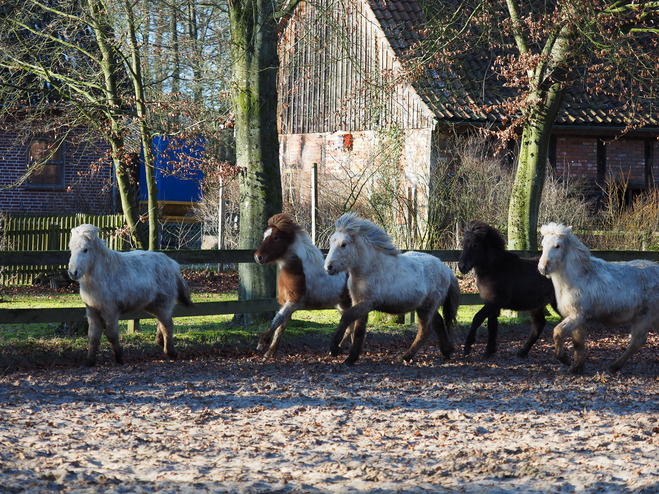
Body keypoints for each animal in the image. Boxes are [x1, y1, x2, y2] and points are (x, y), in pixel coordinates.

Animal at [68, 224, 195, 366]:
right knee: (162, 322)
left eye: (85, 249)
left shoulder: (110, 311)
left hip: (163, 304)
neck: (104, 275)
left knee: (167, 325)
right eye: (71, 249)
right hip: (153, 306)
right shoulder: (93, 311)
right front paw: (89, 361)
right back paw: (160, 342)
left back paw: (170, 351)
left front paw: (119, 358)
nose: (73, 273)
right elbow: (93, 336)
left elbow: (111, 335)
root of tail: (172, 264)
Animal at [254, 214, 356, 356]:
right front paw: (270, 352)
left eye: (276, 237)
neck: (297, 268)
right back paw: (338, 350)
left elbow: (277, 319)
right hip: (342, 304)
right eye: (264, 235)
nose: (258, 257)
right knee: (350, 326)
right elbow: (281, 326)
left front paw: (262, 343)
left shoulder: (294, 301)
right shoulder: (286, 302)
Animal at [462, 222, 560, 356]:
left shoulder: (493, 303)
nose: (461, 267)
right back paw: (522, 352)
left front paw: (468, 346)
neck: (496, 269)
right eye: (463, 243)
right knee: (539, 326)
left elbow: (477, 318)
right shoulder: (492, 304)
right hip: (535, 307)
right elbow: (492, 326)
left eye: (474, 245)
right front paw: (489, 351)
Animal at [540, 224, 659, 374]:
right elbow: (578, 344)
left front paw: (564, 359)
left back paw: (614, 367)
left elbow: (558, 332)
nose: (543, 267)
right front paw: (577, 368)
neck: (578, 278)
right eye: (543, 244)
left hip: (643, 318)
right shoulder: (579, 320)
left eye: (557, 245)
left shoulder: (578, 316)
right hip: (652, 319)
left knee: (637, 342)